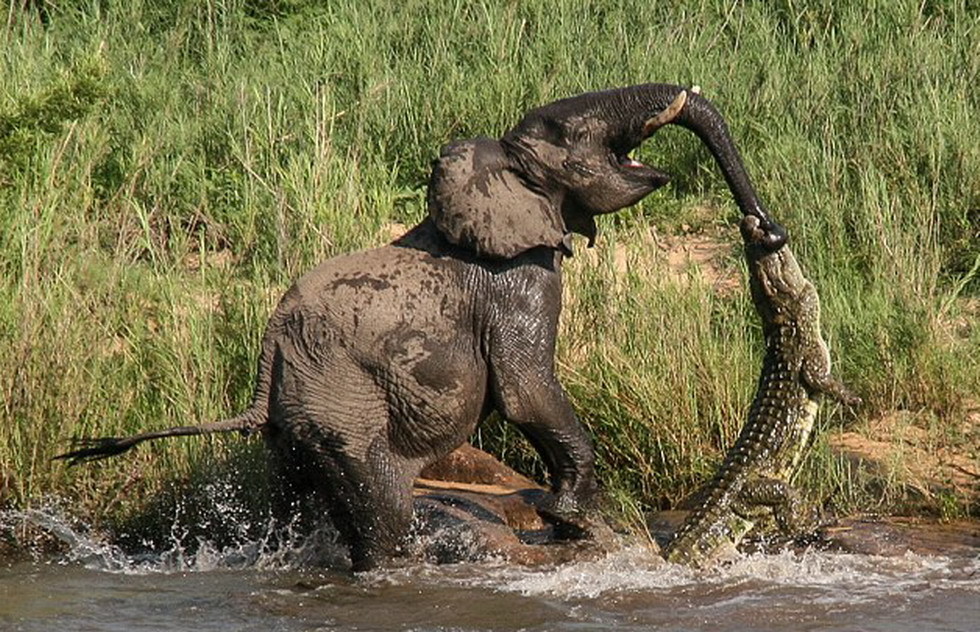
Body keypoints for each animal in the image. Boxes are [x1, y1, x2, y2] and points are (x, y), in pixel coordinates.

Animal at [59, 81, 780, 572]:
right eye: (564, 132)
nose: (766, 230)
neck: (494, 174)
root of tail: (269, 358)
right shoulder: (519, 279)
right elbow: (526, 390)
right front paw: (570, 519)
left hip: (295, 425)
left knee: (295, 499)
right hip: (342, 405)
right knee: (384, 508)